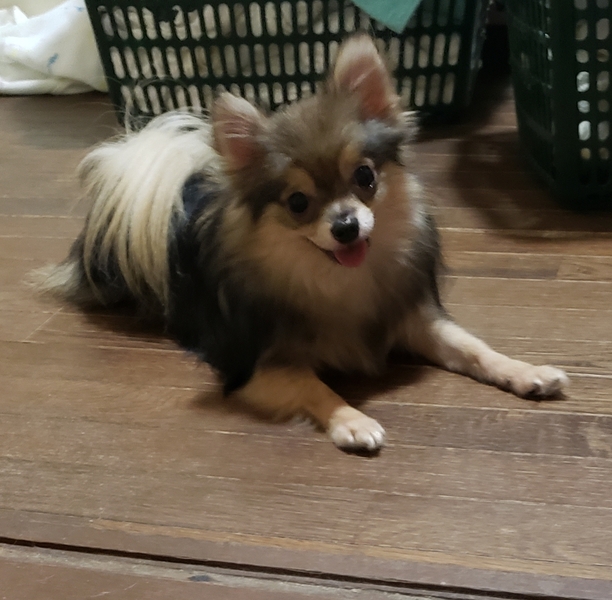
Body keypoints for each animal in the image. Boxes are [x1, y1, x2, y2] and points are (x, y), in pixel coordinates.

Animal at [35, 34, 569, 451]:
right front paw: (352, 419)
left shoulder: (414, 320)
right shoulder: (258, 367)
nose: (347, 226)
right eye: (297, 202)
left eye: (365, 177)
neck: (337, 281)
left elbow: (475, 348)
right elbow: (314, 385)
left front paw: (527, 372)